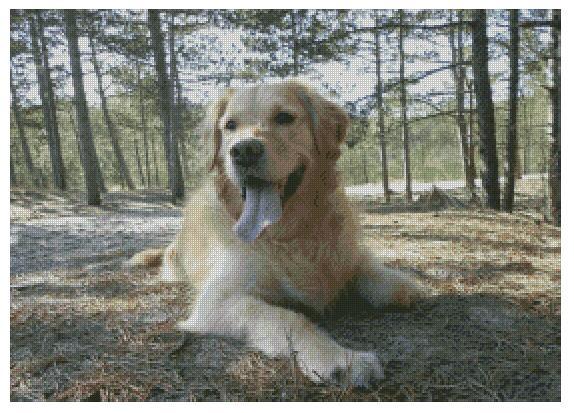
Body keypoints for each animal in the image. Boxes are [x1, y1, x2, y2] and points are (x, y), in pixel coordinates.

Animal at [129, 79, 428, 386]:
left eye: (284, 117)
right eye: (230, 125)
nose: (244, 151)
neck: (289, 234)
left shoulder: (344, 256)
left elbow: (374, 273)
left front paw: (405, 285)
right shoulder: (217, 301)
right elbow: (290, 319)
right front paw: (342, 359)